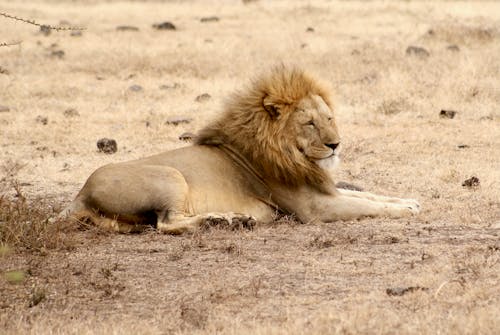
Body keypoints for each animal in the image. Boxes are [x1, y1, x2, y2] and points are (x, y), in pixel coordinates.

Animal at [60, 65, 420, 234]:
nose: (336, 144)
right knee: (166, 223)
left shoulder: (325, 190)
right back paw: (224, 221)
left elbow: (370, 195)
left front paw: (409, 200)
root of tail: (80, 193)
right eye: (309, 123)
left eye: (329, 118)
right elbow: (367, 205)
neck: (292, 155)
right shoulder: (314, 208)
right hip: (169, 176)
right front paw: (407, 210)